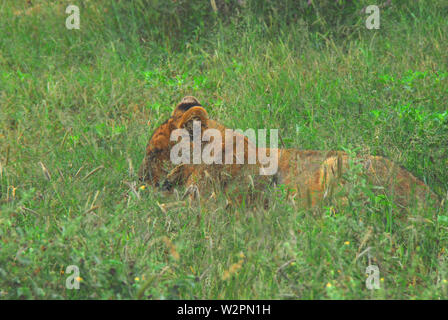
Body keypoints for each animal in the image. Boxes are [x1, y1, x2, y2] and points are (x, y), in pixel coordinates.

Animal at [138, 95, 440, 210]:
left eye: (155, 153)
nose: (140, 180)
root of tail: (435, 199)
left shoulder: (217, 206)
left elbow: (162, 212)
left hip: (335, 163)